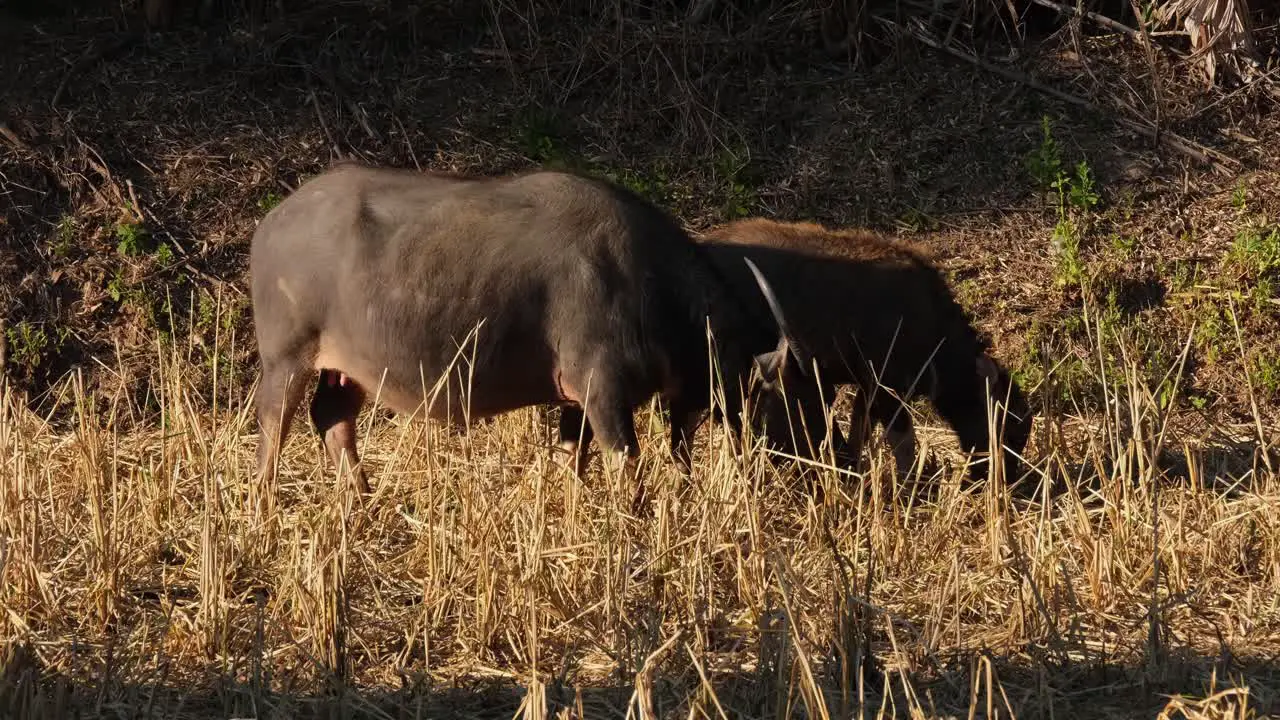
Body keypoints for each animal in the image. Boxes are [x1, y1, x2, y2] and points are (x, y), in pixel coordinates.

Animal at [249, 162, 803, 502]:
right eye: (772, 397)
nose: (787, 461)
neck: (649, 284)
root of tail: (272, 221)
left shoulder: (577, 401)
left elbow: (572, 461)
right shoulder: (604, 391)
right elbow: (627, 471)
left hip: (347, 370)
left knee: (332, 418)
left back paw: (360, 501)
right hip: (286, 360)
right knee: (273, 428)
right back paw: (265, 505)